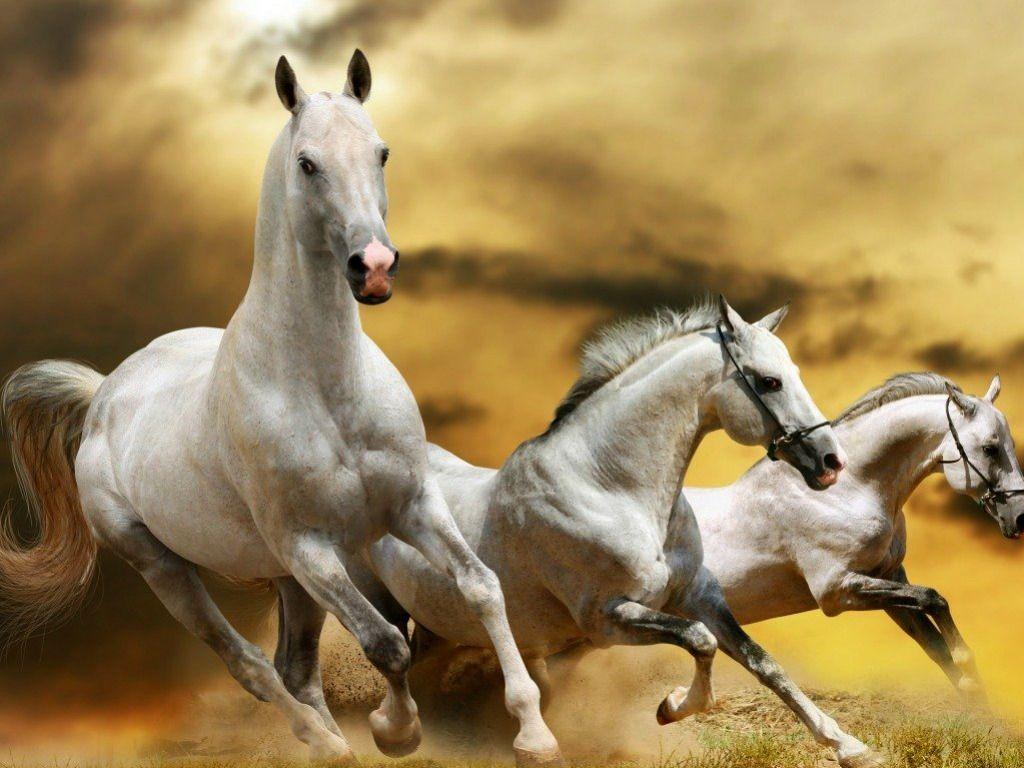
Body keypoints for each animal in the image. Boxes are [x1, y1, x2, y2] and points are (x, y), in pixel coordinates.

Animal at [0, 51, 558, 765]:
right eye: (307, 163)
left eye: (381, 152)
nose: (374, 267)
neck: (326, 391)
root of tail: (104, 394)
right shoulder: (309, 546)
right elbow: (386, 642)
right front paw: (395, 731)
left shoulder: (411, 505)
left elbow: (481, 586)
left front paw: (534, 732)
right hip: (168, 568)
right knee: (251, 665)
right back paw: (325, 742)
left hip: (289, 580)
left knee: (294, 665)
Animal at [337, 297, 885, 767]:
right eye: (769, 382)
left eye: (795, 374)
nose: (831, 462)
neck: (610, 488)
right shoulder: (606, 618)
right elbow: (700, 641)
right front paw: (672, 706)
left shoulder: (699, 595)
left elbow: (763, 663)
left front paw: (851, 747)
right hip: (373, 601)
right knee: (378, 656)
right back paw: (390, 733)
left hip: (439, 625)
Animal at [681, 372, 1024, 699]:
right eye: (990, 448)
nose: (1020, 517)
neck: (848, 490)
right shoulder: (837, 590)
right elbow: (933, 599)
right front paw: (969, 669)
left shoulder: (888, 577)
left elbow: (935, 646)